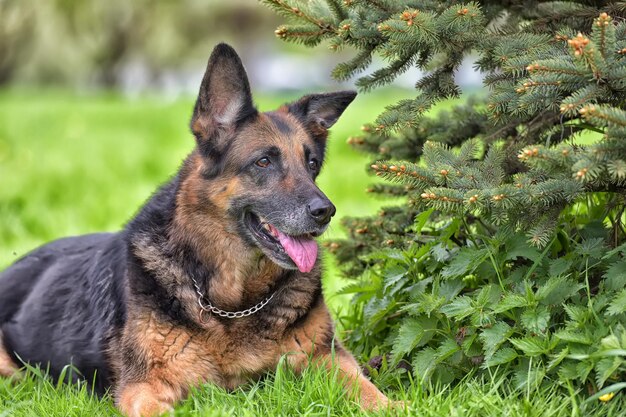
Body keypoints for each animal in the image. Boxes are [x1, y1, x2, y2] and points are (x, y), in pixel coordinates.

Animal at [0, 44, 394, 414]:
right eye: (263, 162)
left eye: (311, 164)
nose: (325, 212)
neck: (232, 304)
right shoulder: (145, 387)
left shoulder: (326, 358)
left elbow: (371, 393)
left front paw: (395, 406)